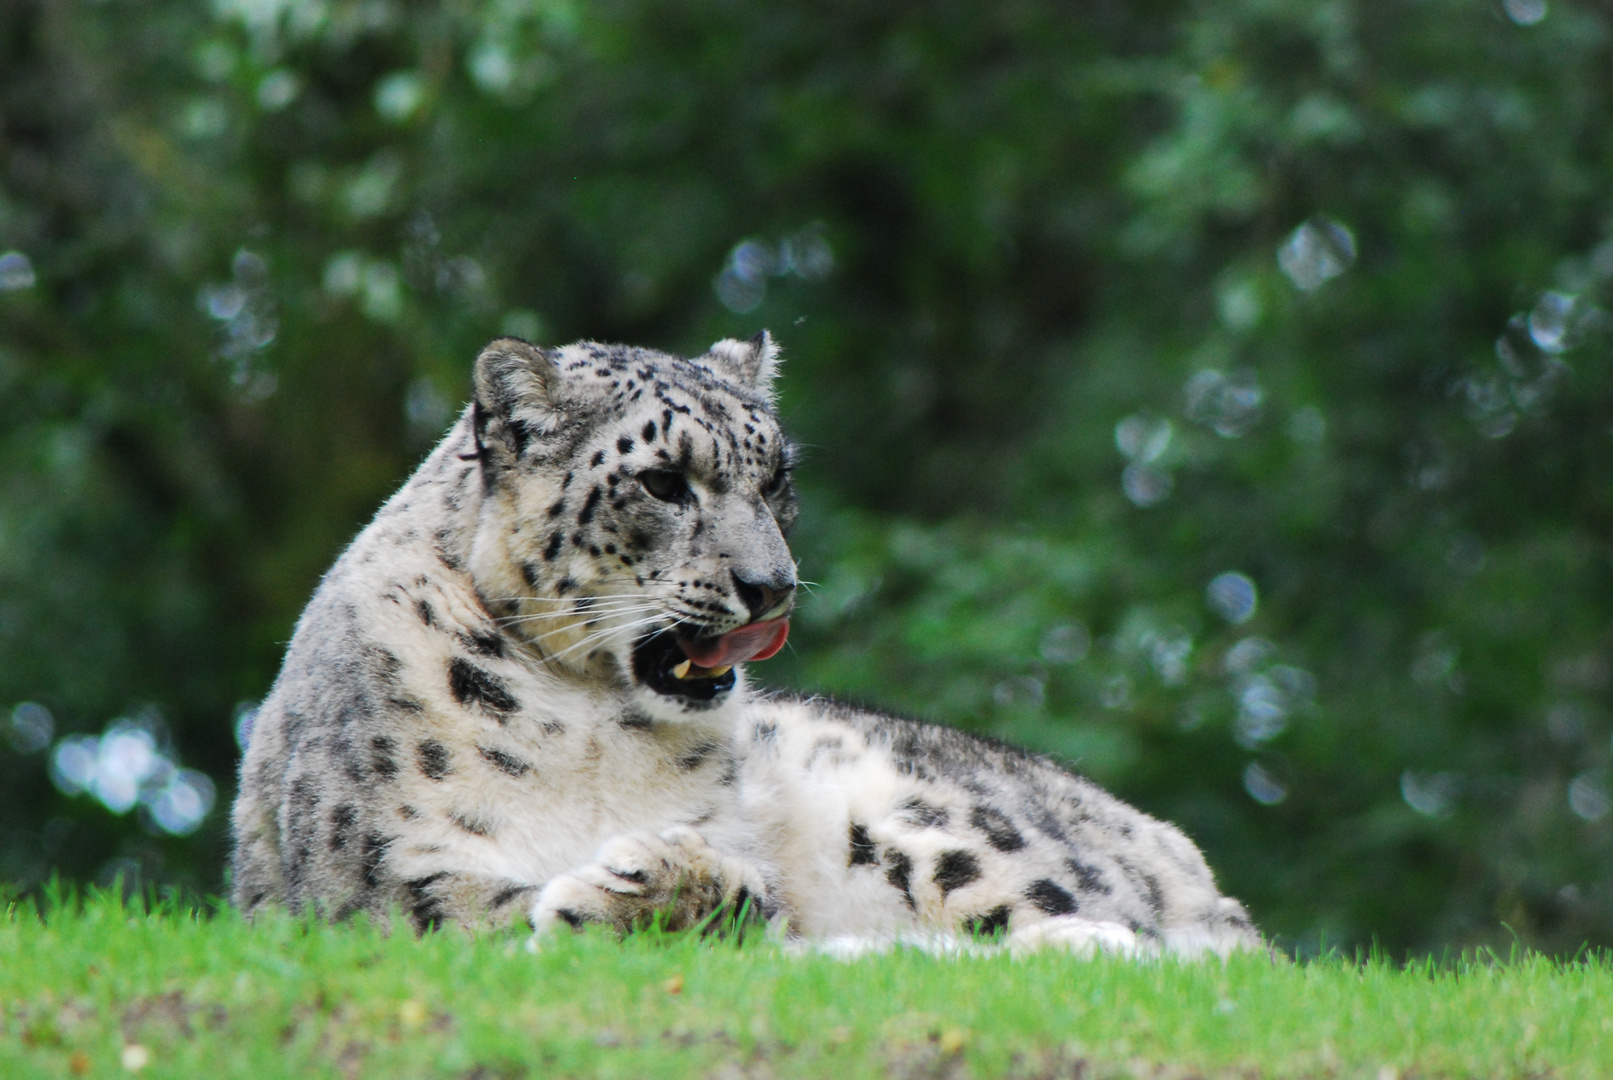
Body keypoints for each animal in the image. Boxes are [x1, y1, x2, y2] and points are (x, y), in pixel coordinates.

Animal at [230, 336, 1258, 954]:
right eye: (662, 481)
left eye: (776, 480)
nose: (770, 586)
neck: (588, 726)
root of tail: (1172, 844)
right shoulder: (379, 877)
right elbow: (479, 909)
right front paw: (621, 889)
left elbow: (750, 898)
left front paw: (643, 878)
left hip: (930, 814)